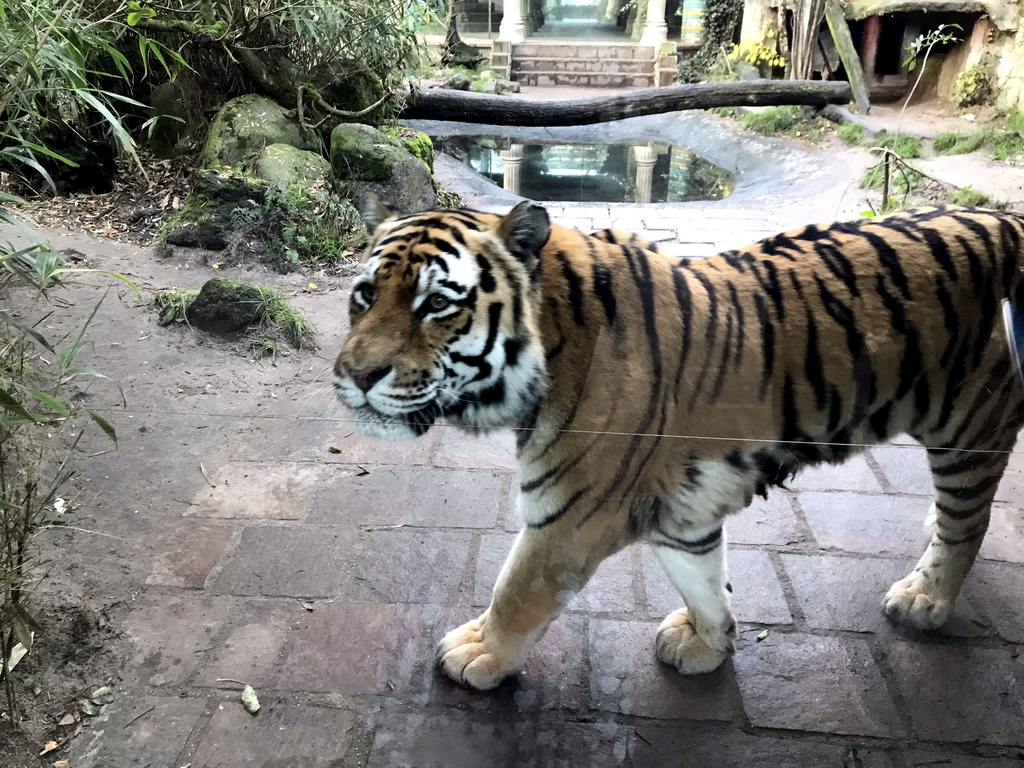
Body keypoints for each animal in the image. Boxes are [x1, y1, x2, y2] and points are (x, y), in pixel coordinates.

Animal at [333, 198, 1024, 692]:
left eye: (435, 304)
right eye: (364, 295)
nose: (357, 376)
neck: (554, 345)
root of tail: (1008, 218)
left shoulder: (574, 514)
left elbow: (518, 589)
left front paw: (479, 652)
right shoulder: (678, 507)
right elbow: (703, 578)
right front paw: (708, 644)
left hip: (969, 429)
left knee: (968, 522)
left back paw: (925, 598)